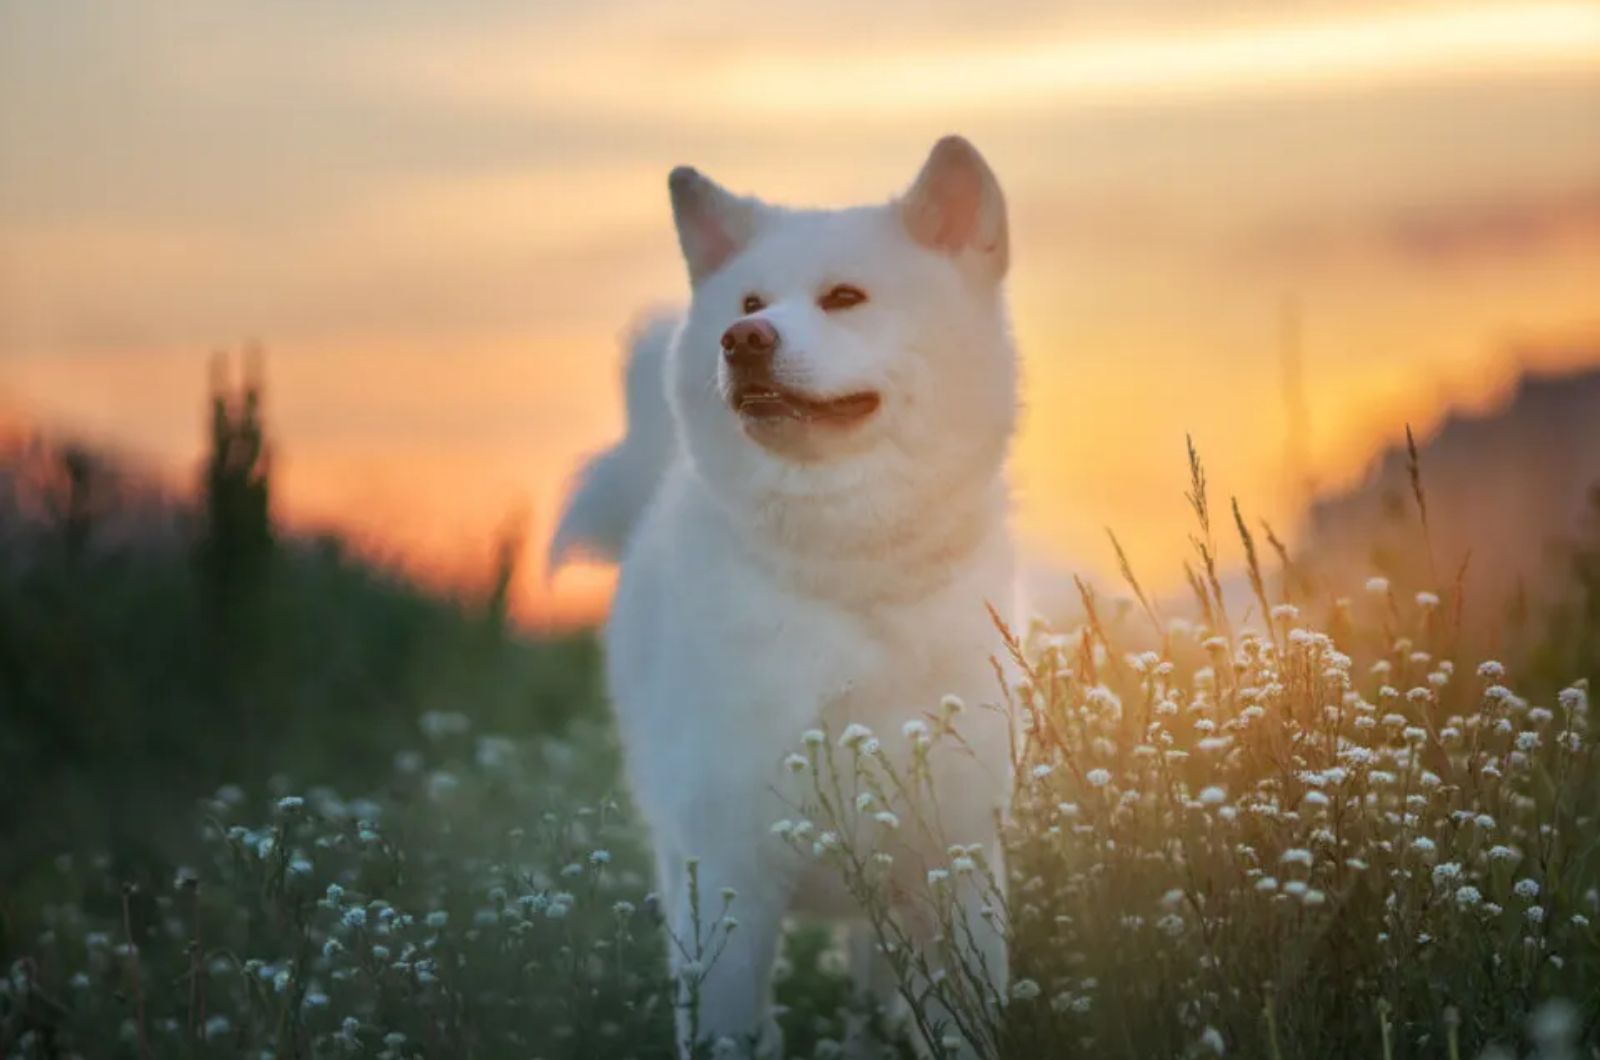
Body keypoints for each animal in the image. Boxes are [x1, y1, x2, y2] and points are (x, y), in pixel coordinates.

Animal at [556, 136, 1017, 1056]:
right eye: (750, 302)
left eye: (845, 298)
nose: (742, 339)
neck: (848, 572)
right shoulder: (730, 868)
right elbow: (727, 1029)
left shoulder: (959, 861)